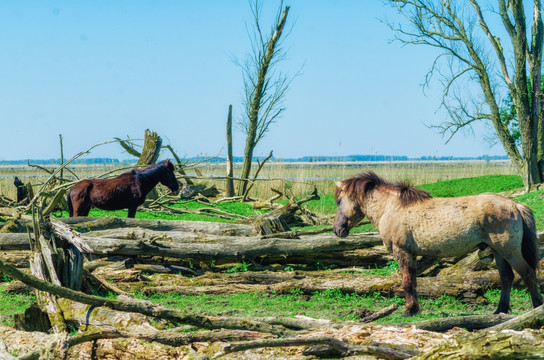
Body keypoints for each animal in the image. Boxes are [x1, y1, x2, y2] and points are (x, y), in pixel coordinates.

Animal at [334, 172, 540, 316]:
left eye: (338, 201)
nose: (337, 230)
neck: (391, 208)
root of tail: (515, 205)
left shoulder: (402, 252)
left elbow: (406, 282)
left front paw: (408, 311)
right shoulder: (412, 255)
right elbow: (413, 282)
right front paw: (415, 309)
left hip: (510, 251)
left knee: (528, 274)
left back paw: (536, 306)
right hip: (499, 252)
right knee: (506, 278)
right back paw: (500, 310)